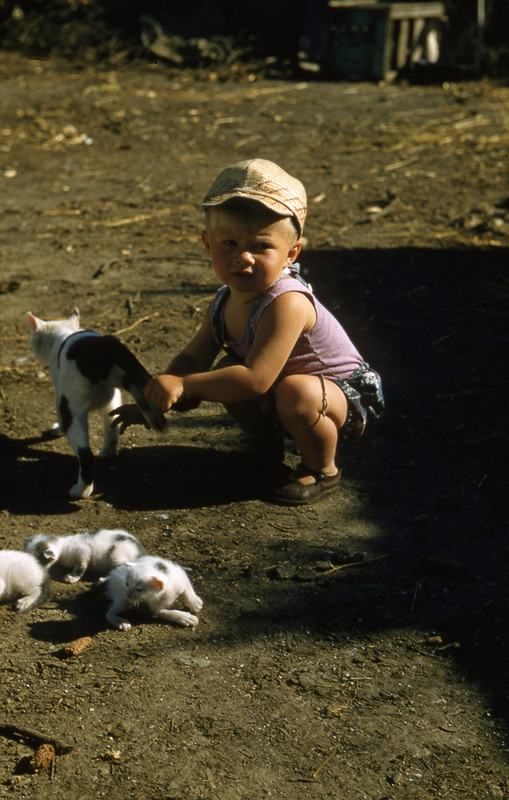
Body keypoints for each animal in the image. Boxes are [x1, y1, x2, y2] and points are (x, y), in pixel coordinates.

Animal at [25, 308, 166, 500]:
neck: (65, 332)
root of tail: (99, 351)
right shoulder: (112, 402)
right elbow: (112, 427)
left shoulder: (60, 394)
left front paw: (55, 430)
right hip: (129, 386)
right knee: (113, 428)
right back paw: (108, 453)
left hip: (71, 407)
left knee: (85, 454)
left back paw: (79, 491)